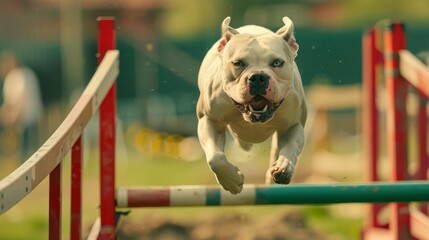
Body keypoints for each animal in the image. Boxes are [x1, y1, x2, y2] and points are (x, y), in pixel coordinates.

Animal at [196, 16, 306, 193]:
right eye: (238, 63)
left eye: (277, 63)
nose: (258, 77)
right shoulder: (209, 120)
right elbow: (216, 158)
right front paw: (231, 180)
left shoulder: (293, 125)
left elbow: (290, 147)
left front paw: (284, 167)